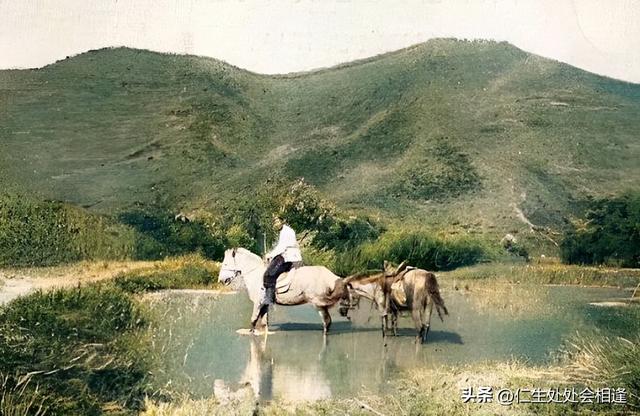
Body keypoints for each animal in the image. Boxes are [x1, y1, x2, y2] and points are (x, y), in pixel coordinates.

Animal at [218, 247, 348, 334]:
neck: (255, 274)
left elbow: (253, 320)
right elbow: (264, 323)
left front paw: (250, 333)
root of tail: (331, 276)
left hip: (318, 303)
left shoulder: (258, 303)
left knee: (327, 321)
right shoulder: (265, 304)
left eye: (225, 263)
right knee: (327, 322)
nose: (221, 280)